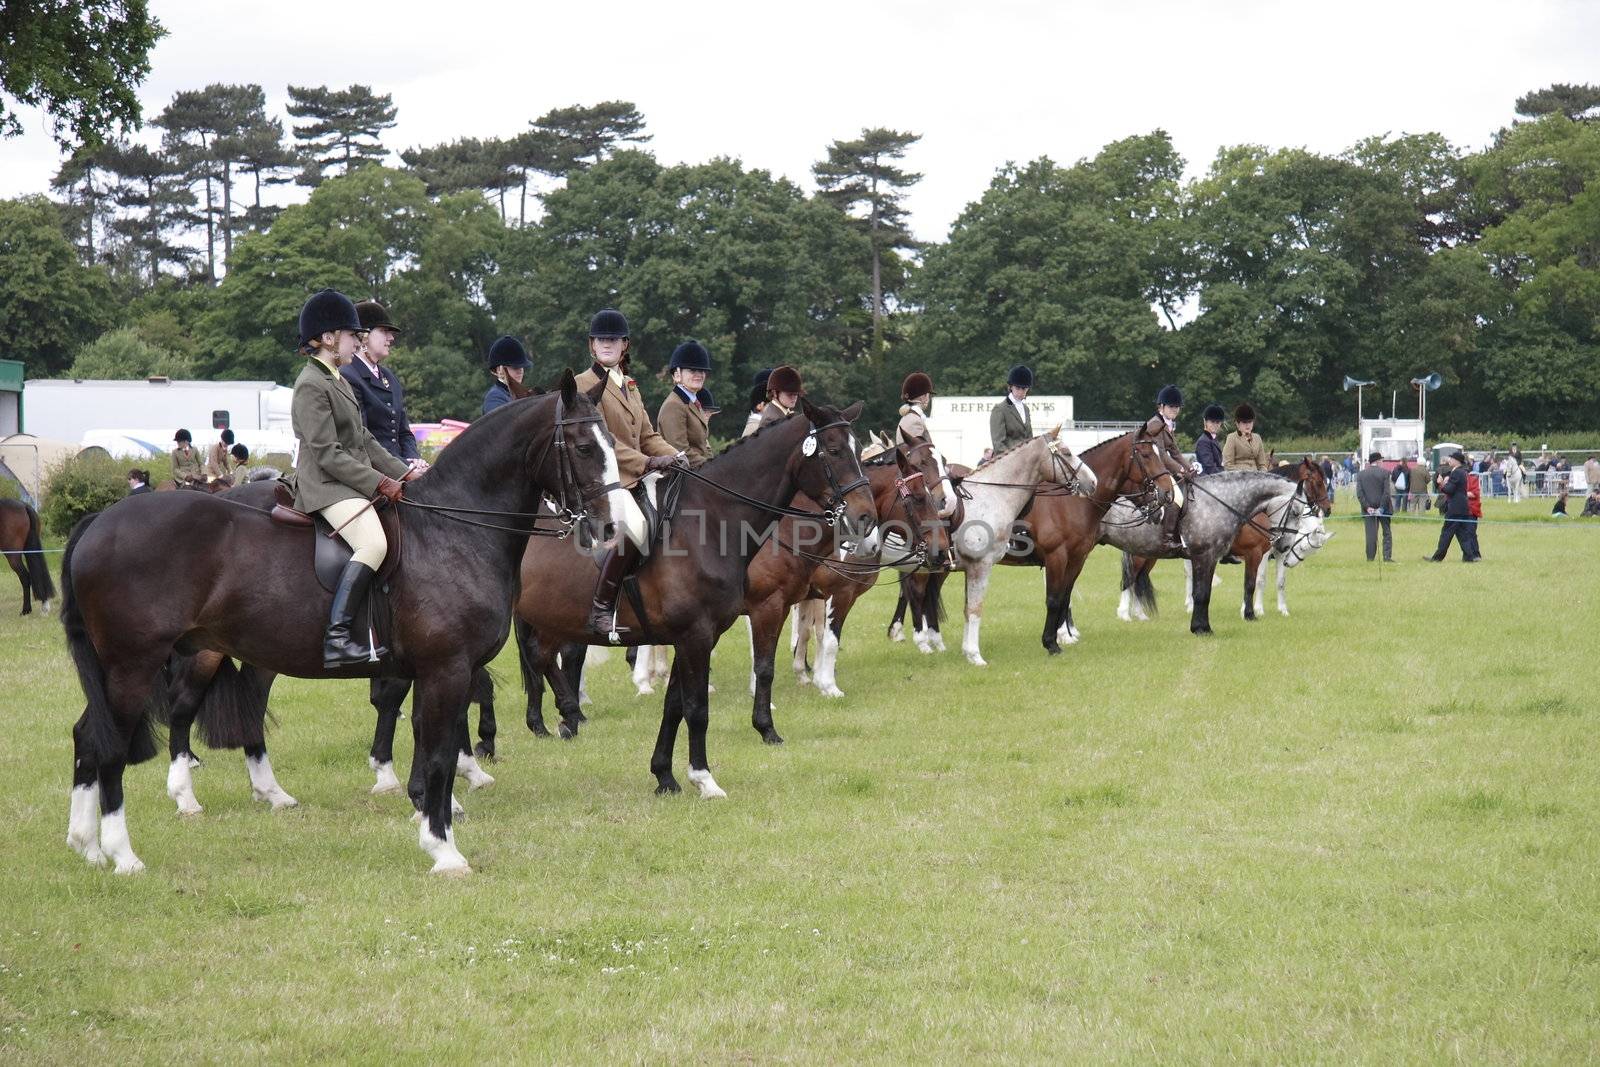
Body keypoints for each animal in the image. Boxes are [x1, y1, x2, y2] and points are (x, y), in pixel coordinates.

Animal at [59, 374, 617, 876]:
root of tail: (101, 521)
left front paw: (427, 812)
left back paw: (88, 846)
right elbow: (438, 755)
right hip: (138, 663)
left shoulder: (430, 672)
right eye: (584, 447)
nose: (609, 527)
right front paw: (444, 850)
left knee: (91, 735)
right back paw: (125, 853)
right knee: (118, 744)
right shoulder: (447, 669)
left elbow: (426, 744)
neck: (449, 529)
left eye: (612, 442)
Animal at [512, 399, 883, 799]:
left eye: (858, 450)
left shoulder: (693, 636)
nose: (866, 519)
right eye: (834, 450)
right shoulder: (702, 634)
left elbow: (674, 705)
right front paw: (705, 778)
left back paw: (560, 717)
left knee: (539, 656)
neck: (709, 524)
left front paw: (664, 776)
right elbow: (699, 707)